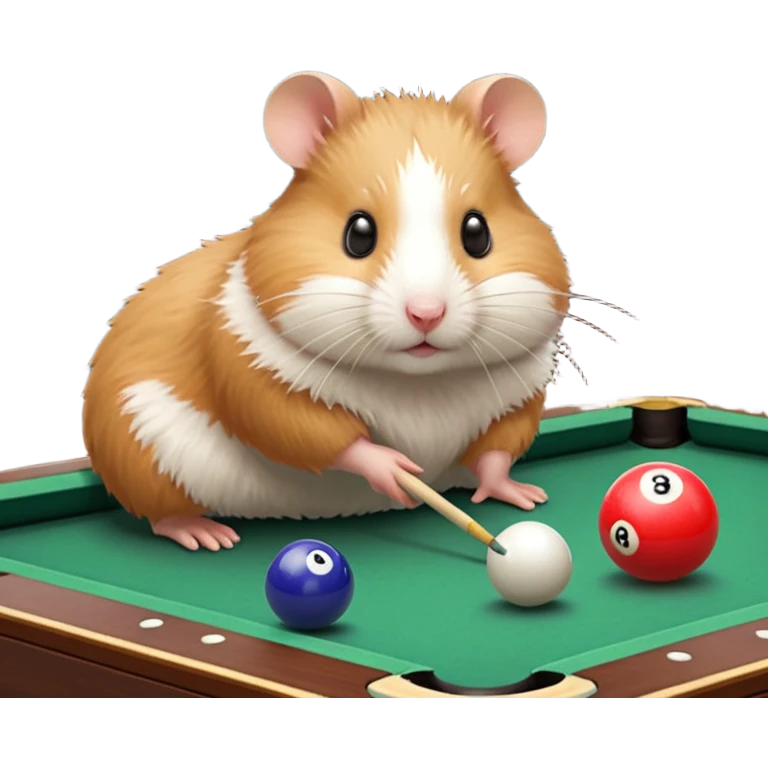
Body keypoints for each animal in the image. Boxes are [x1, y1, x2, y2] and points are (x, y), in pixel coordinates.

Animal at [81, 72, 572, 552]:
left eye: (477, 233)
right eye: (358, 234)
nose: (426, 315)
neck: (421, 385)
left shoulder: (524, 388)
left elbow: (497, 447)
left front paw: (519, 493)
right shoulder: (248, 366)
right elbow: (307, 428)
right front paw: (395, 469)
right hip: (140, 450)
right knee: (161, 512)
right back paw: (204, 534)